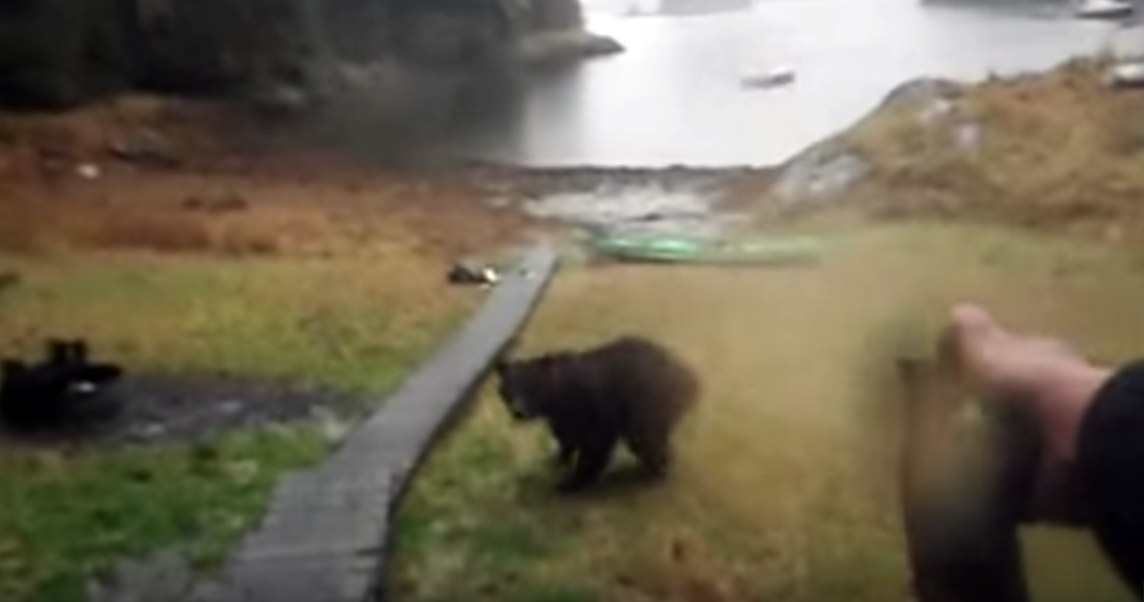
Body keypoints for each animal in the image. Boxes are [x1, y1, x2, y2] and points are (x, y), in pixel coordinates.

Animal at [495, 335, 700, 492]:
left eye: (533, 386)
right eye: (509, 389)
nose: (519, 411)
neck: (556, 398)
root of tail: (688, 374)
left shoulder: (592, 407)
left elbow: (595, 443)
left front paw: (572, 481)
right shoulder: (561, 416)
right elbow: (566, 436)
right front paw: (558, 459)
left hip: (646, 401)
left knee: (645, 438)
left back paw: (655, 468)